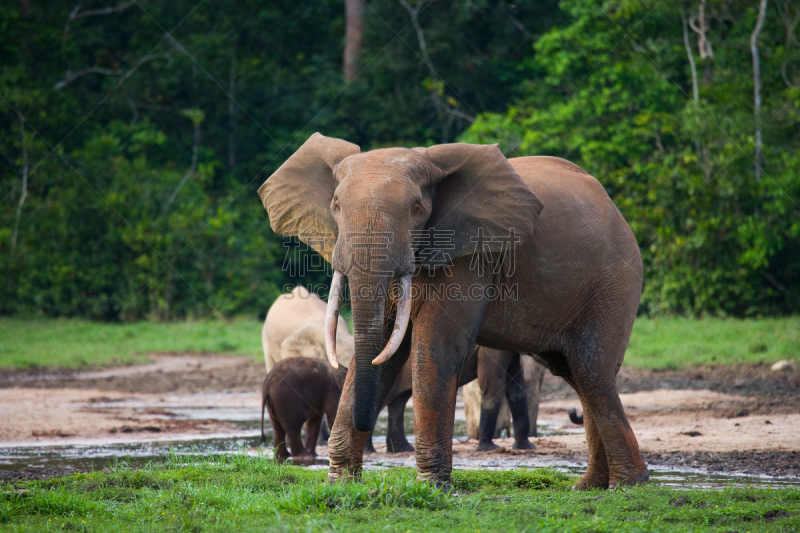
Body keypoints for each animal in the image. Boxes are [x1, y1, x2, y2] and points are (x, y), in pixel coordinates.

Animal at [260, 132, 652, 486]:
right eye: (337, 207)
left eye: (416, 209)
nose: (364, 424)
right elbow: (383, 347)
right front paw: (340, 483)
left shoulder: (470, 254)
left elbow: (434, 347)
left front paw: (432, 486)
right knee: (575, 372)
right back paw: (591, 485)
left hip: (615, 280)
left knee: (591, 370)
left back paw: (627, 484)